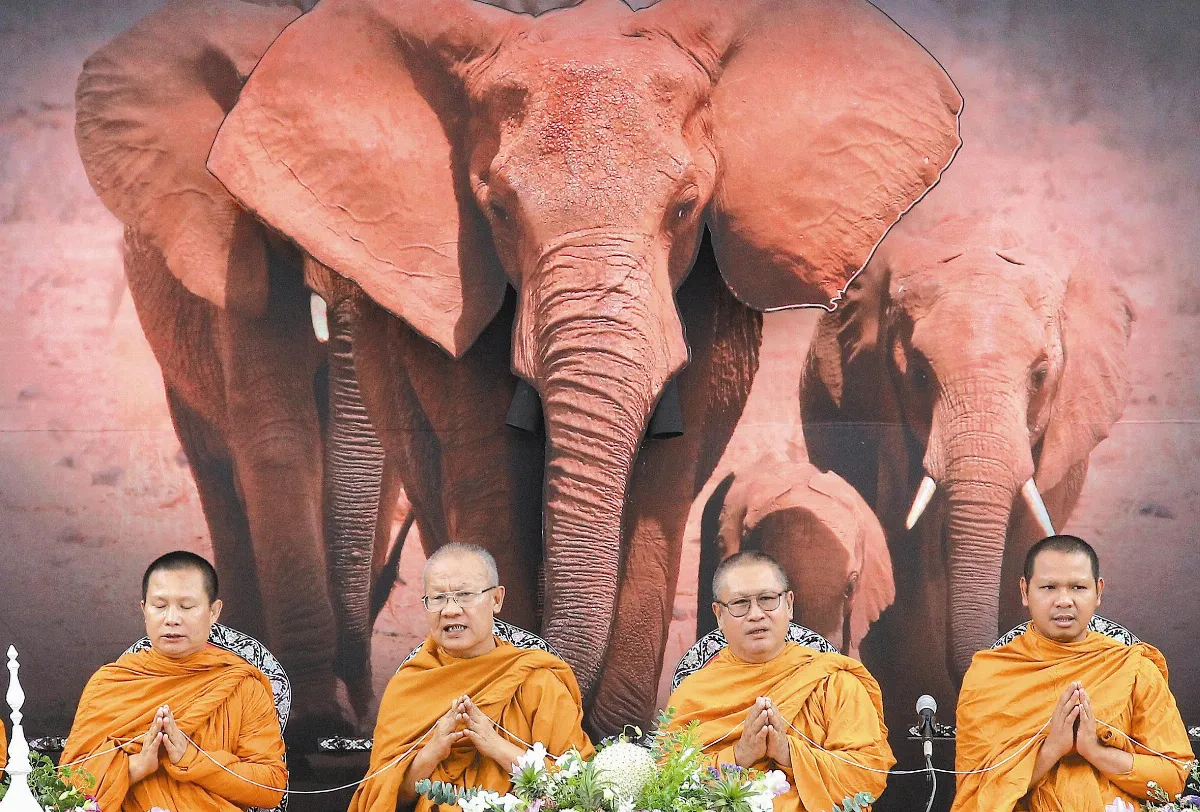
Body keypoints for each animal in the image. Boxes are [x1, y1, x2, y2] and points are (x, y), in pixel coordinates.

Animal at [73, 0, 403, 741]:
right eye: (276, 191)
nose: (362, 719)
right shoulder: (228, 241)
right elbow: (277, 437)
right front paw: (311, 723)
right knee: (217, 464)